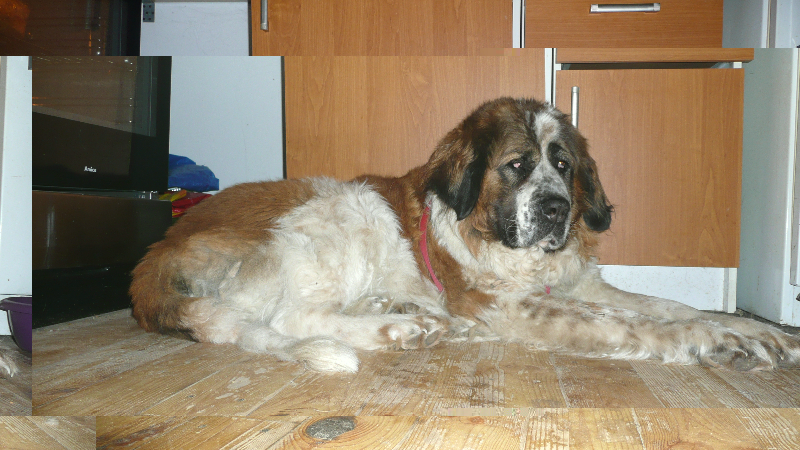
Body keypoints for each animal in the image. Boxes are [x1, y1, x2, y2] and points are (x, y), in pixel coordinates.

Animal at [131, 97, 800, 373]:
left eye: (564, 165)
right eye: (517, 165)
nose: (557, 210)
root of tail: (155, 255)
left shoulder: (578, 287)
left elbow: (666, 304)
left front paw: (760, 331)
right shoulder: (511, 305)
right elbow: (638, 323)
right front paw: (721, 342)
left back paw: (408, 314)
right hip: (344, 209)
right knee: (292, 319)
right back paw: (401, 328)